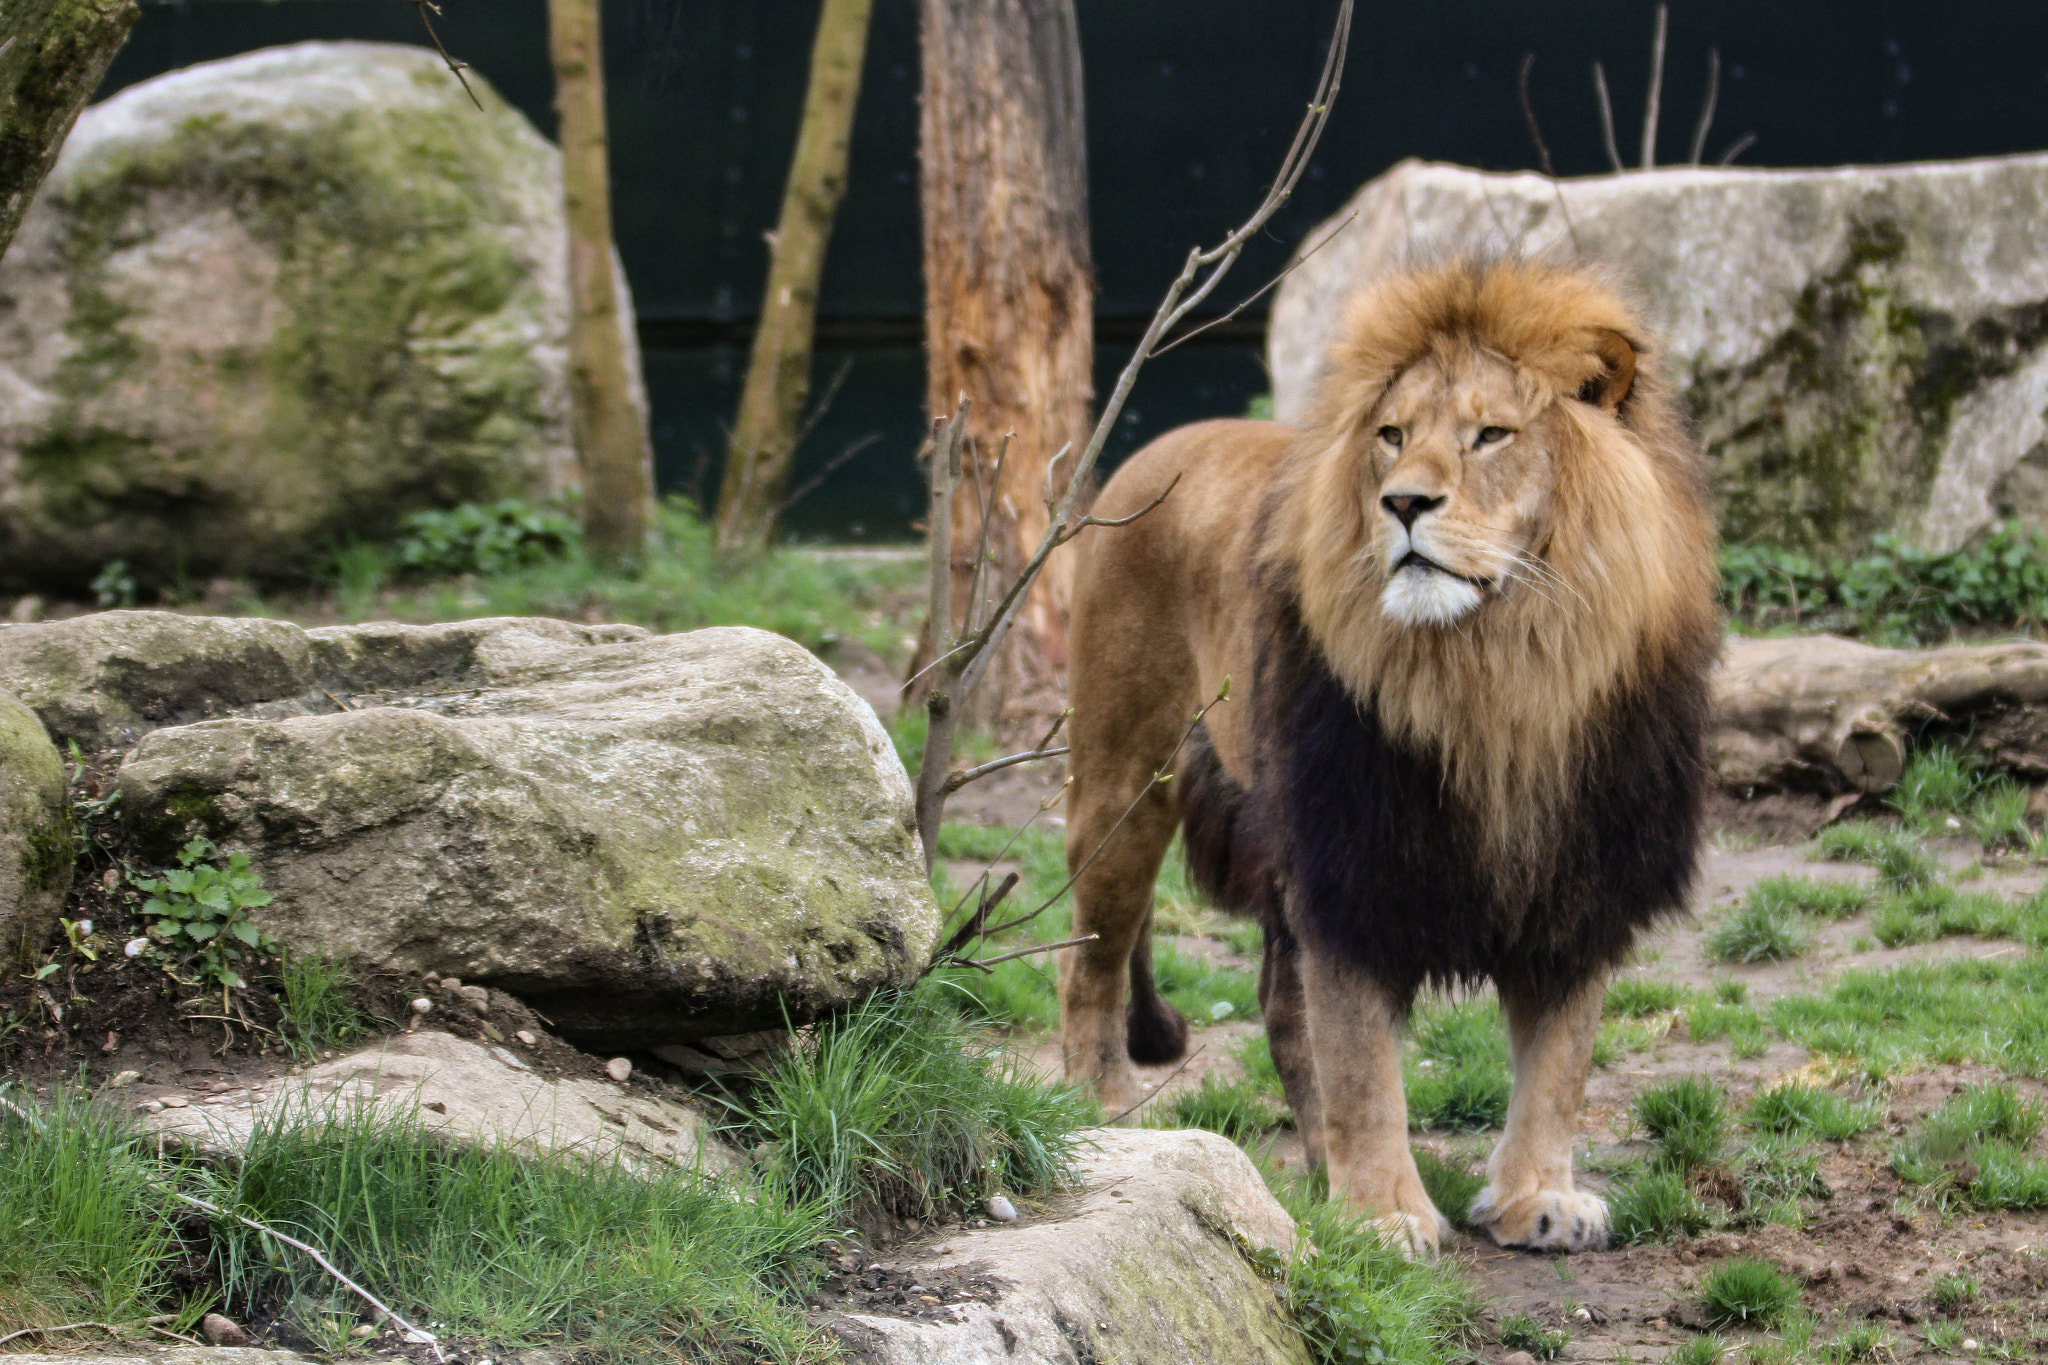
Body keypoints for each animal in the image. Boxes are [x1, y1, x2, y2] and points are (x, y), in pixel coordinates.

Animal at [1056, 260, 1719, 1255]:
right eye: (1393, 436)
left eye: (1491, 435)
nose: (1404, 501)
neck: (1498, 674)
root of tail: (1153, 449)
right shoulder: (1349, 860)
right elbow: (1362, 1061)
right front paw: (1382, 1215)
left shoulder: (1578, 870)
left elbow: (1560, 1060)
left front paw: (1538, 1198)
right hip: (1125, 777)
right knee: (1091, 959)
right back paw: (1102, 1106)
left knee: (1276, 1003)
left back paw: (1313, 1162)